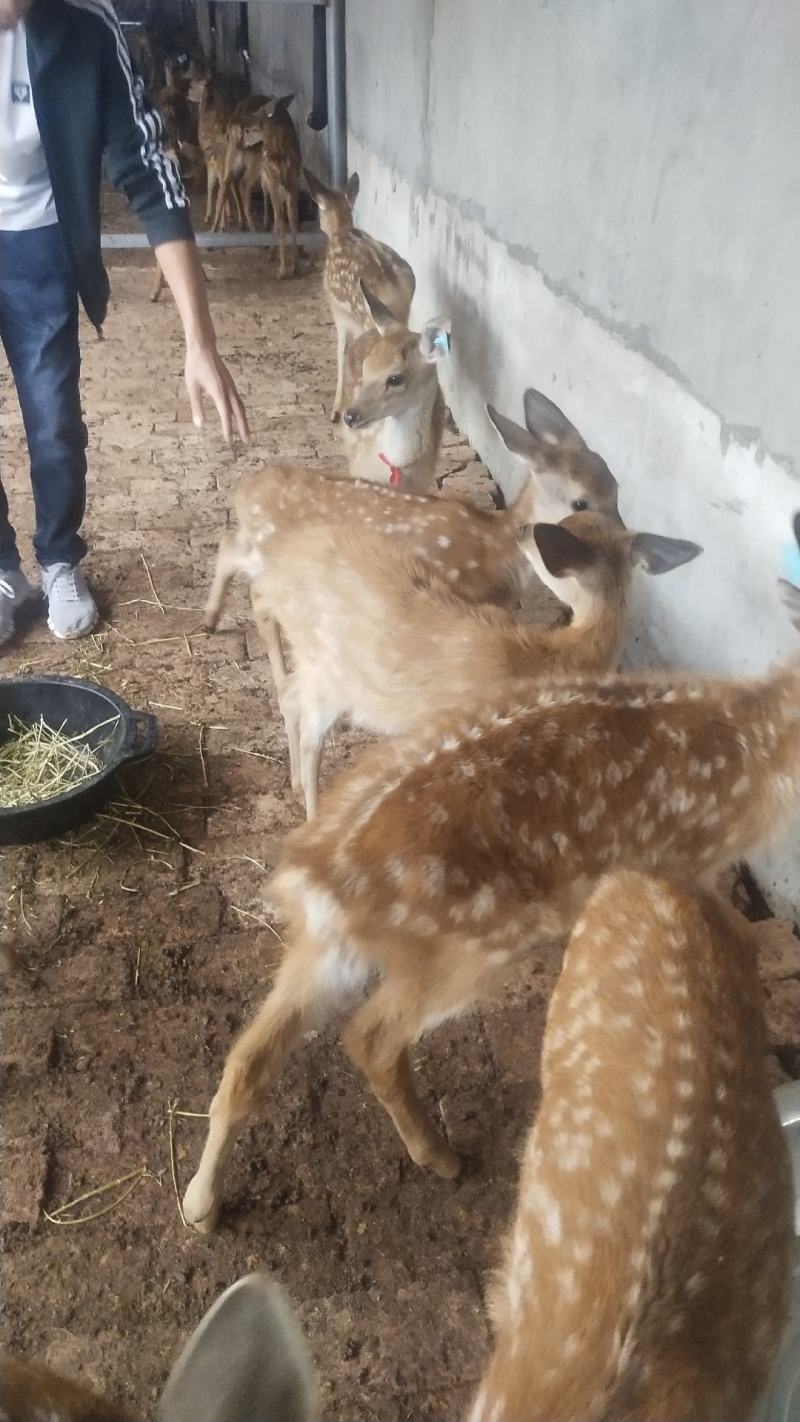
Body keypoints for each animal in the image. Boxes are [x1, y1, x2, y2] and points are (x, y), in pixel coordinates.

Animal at [250, 512, 702, 816]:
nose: (521, 530)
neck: (548, 660)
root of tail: (276, 563)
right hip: (327, 667)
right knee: (309, 730)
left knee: (290, 696)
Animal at [304, 168, 416, 421]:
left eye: (318, 208)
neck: (341, 231)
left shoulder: (339, 313)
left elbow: (341, 353)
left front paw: (334, 409)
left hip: (365, 316)